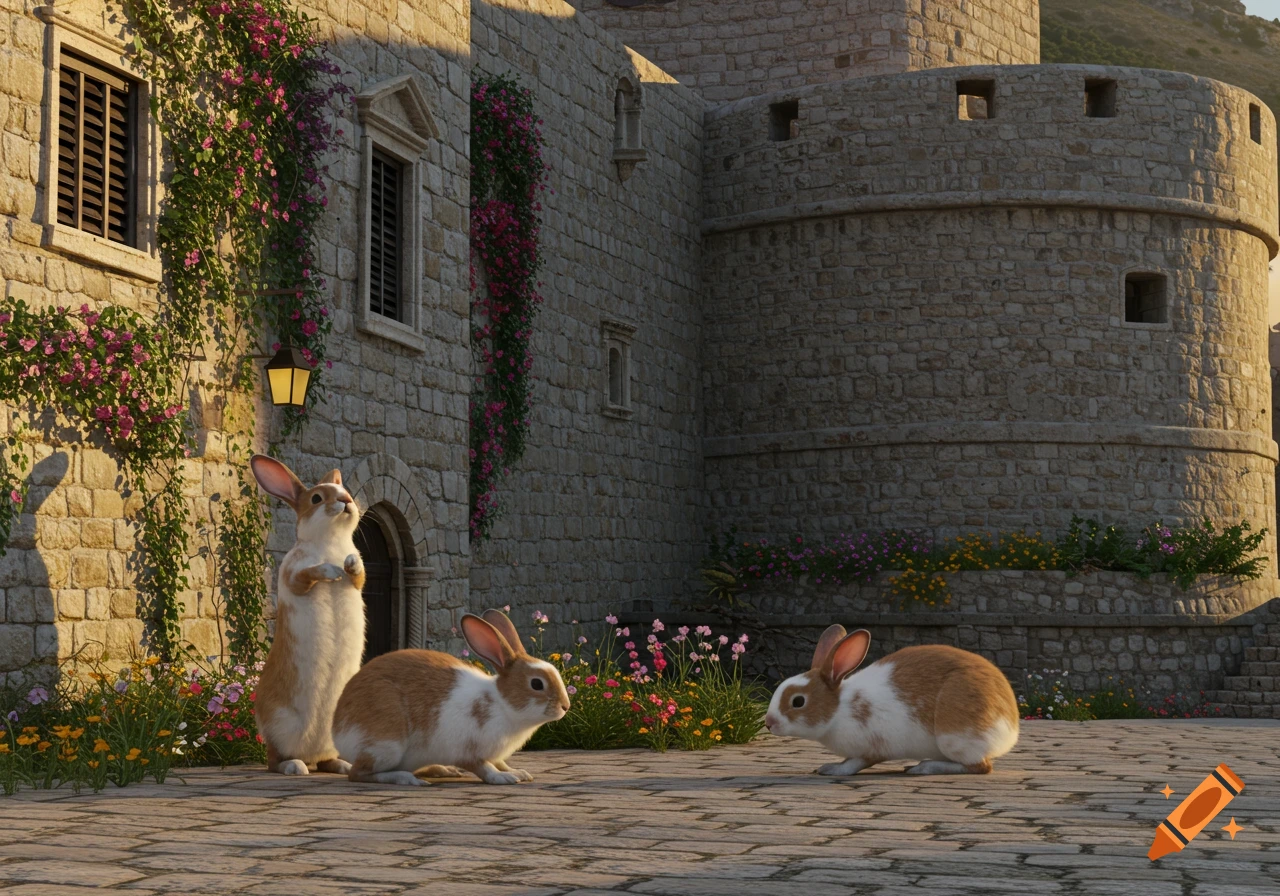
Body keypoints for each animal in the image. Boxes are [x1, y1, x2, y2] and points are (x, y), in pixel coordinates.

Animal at [249, 454, 366, 777]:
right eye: (316, 498)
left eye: (344, 490)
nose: (346, 500)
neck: (330, 541)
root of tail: (310, 753)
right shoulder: (292, 575)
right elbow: (307, 575)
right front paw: (332, 569)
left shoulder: (360, 581)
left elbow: (358, 574)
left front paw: (349, 563)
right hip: (278, 728)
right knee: (273, 760)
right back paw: (294, 766)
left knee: (325, 759)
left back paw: (341, 765)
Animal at [331, 609, 570, 786]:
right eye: (537, 684)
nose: (565, 706)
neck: (502, 704)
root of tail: (337, 730)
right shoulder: (468, 750)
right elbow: (484, 767)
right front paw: (504, 778)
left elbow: (500, 763)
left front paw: (518, 772)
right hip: (386, 745)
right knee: (358, 774)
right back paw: (408, 779)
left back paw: (441, 770)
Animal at [763, 625, 1019, 776]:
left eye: (798, 701)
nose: (768, 723)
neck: (839, 709)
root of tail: (1011, 727)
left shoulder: (871, 746)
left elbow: (855, 764)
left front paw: (832, 769)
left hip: (954, 738)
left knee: (980, 767)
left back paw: (922, 767)